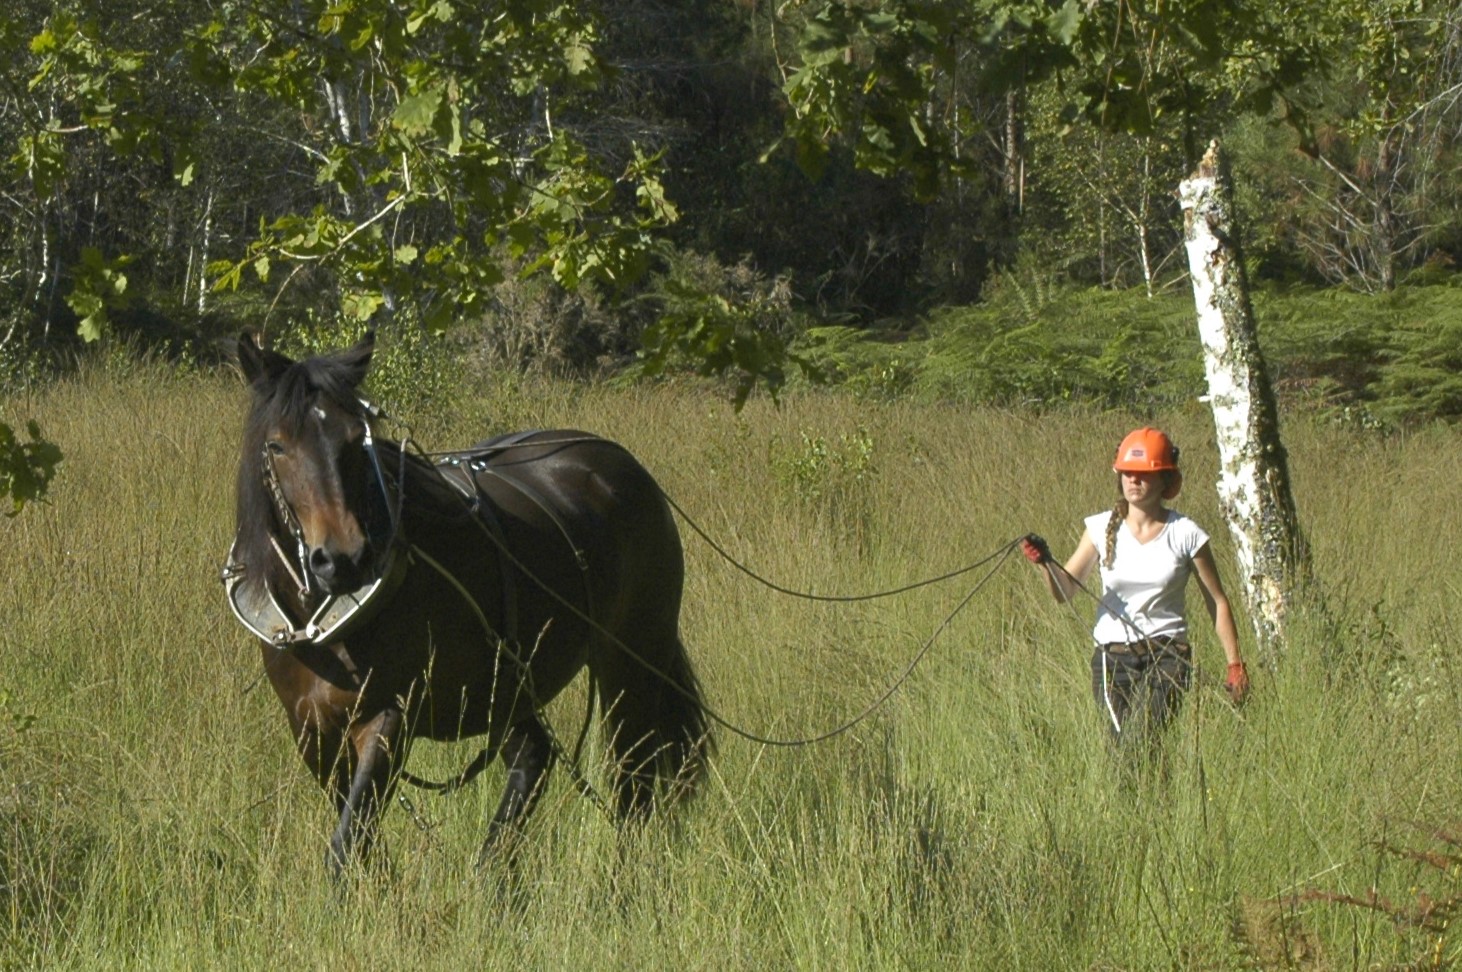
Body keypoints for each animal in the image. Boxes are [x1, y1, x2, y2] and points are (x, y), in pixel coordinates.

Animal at [224, 331, 711, 877]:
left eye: (355, 440)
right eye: (276, 445)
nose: (345, 559)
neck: (319, 627)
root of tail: (616, 461)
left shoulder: (389, 717)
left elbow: (348, 840)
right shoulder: (311, 731)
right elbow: (361, 842)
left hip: (632, 661)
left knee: (633, 781)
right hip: (511, 680)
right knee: (533, 757)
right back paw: (492, 874)